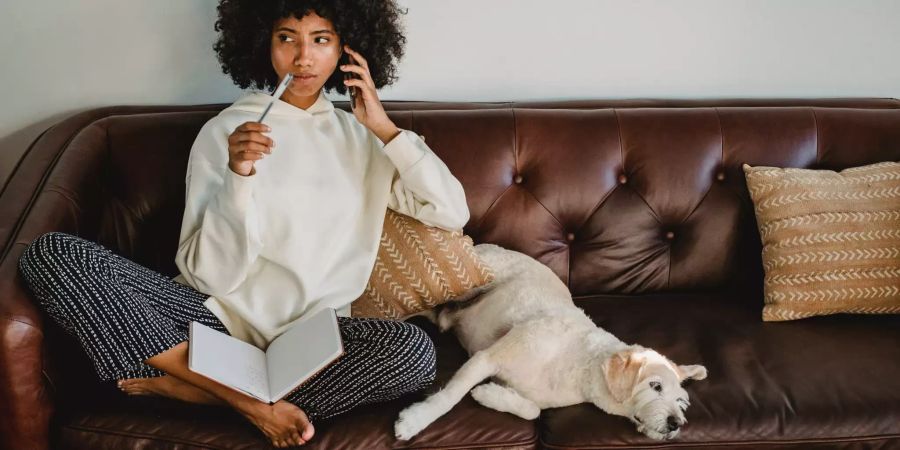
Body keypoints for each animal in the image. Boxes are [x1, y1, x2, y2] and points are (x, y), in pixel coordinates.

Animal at [398, 244, 708, 442]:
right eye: (655, 386)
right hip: (461, 287)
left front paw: (490, 395)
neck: (581, 364)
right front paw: (416, 420)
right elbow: (450, 397)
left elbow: (532, 410)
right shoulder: (487, 357)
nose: (676, 423)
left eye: (680, 401)